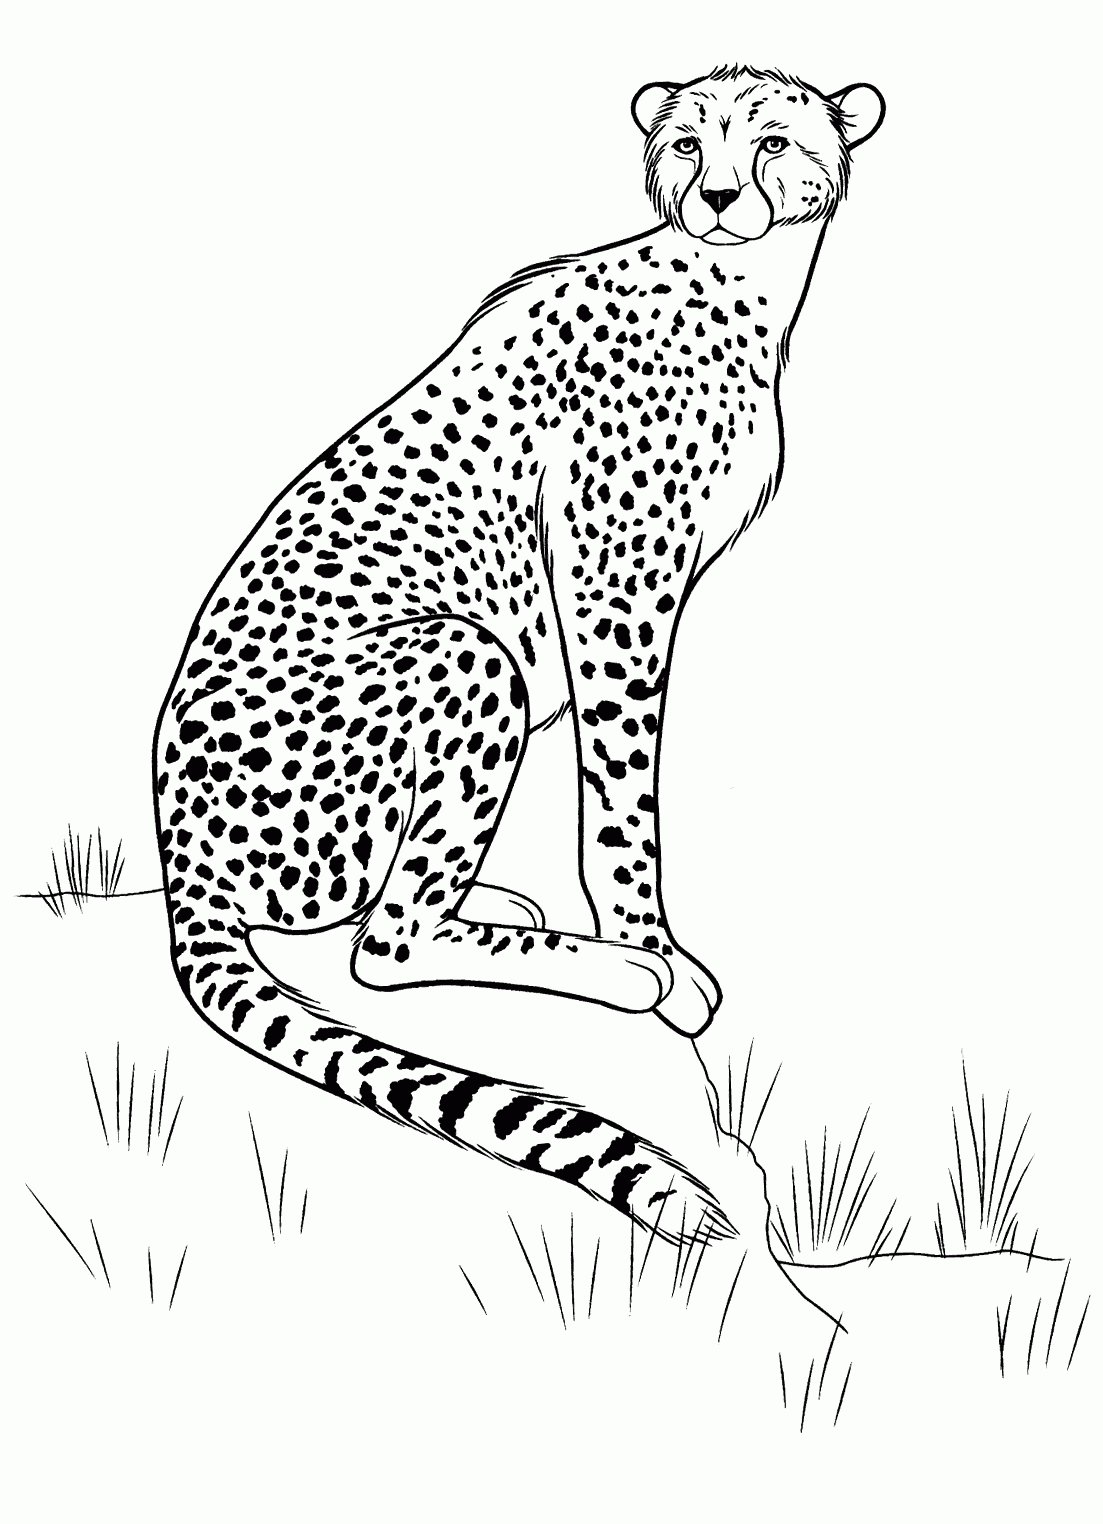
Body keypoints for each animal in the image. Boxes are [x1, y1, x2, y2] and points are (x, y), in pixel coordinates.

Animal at [153, 64, 885, 1251]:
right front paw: (654, 951)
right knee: (385, 946)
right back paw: (612, 972)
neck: (740, 285)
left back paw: (499, 901)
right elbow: (623, 797)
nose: (720, 196)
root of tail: (177, 850)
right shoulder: (612, 585)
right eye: (689, 144)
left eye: (772, 141)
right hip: (471, 653)